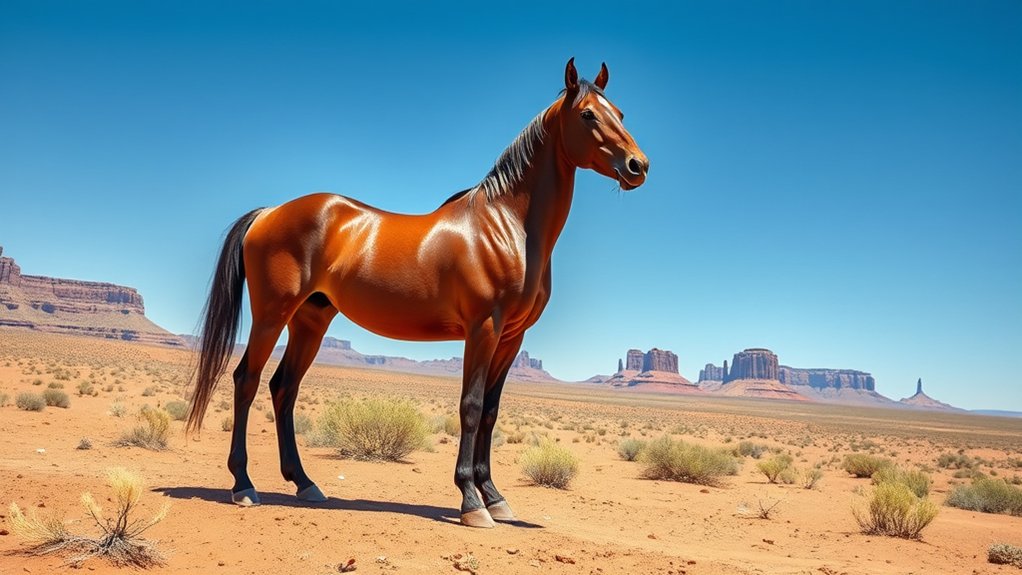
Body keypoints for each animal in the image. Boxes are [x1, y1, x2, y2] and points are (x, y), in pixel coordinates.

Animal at [185, 58, 648, 528]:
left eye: (620, 113)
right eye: (588, 114)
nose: (638, 166)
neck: (507, 227)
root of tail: (269, 213)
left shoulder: (512, 336)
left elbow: (491, 411)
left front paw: (495, 497)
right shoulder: (483, 328)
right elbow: (471, 406)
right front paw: (471, 501)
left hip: (310, 319)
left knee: (284, 388)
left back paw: (305, 483)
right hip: (272, 314)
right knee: (247, 380)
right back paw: (244, 485)